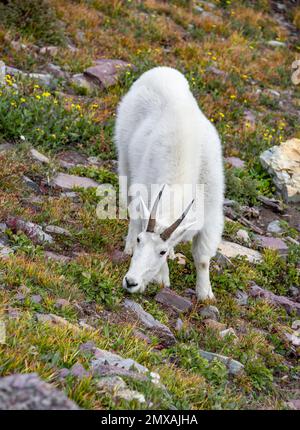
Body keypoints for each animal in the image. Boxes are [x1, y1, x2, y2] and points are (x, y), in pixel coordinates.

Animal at [116, 68, 224, 302]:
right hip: (125, 160)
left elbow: (202, 258)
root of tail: (160, 70)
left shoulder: (211, 215)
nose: (130, 282)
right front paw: (162, 279)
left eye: (161, 251)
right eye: (140, 240)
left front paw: (206, 295)